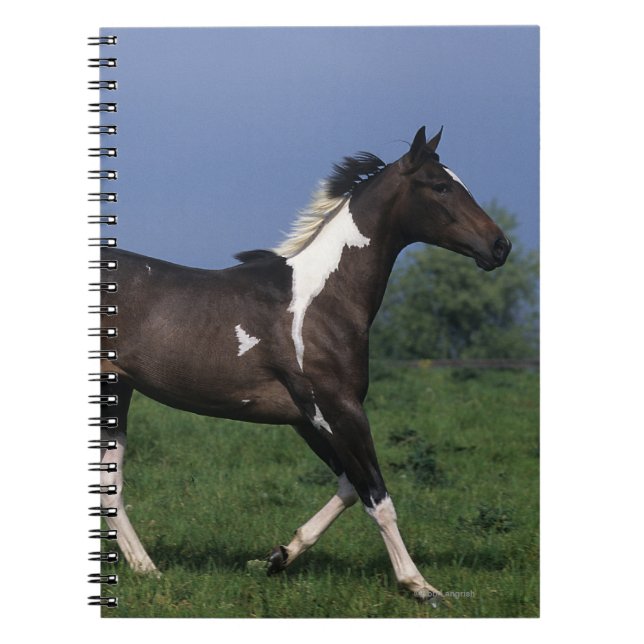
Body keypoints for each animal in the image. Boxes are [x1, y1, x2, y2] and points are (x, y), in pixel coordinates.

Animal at [95, 126, 511, 603]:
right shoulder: (338, 408)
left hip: (117, 394)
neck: (323, 299)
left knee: (110, 489)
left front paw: (279, 555)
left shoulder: (307, 419)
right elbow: (377, 496)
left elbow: (349, 487)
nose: (500, 246)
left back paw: (149, 571)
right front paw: (420, 585)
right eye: (440, 185)